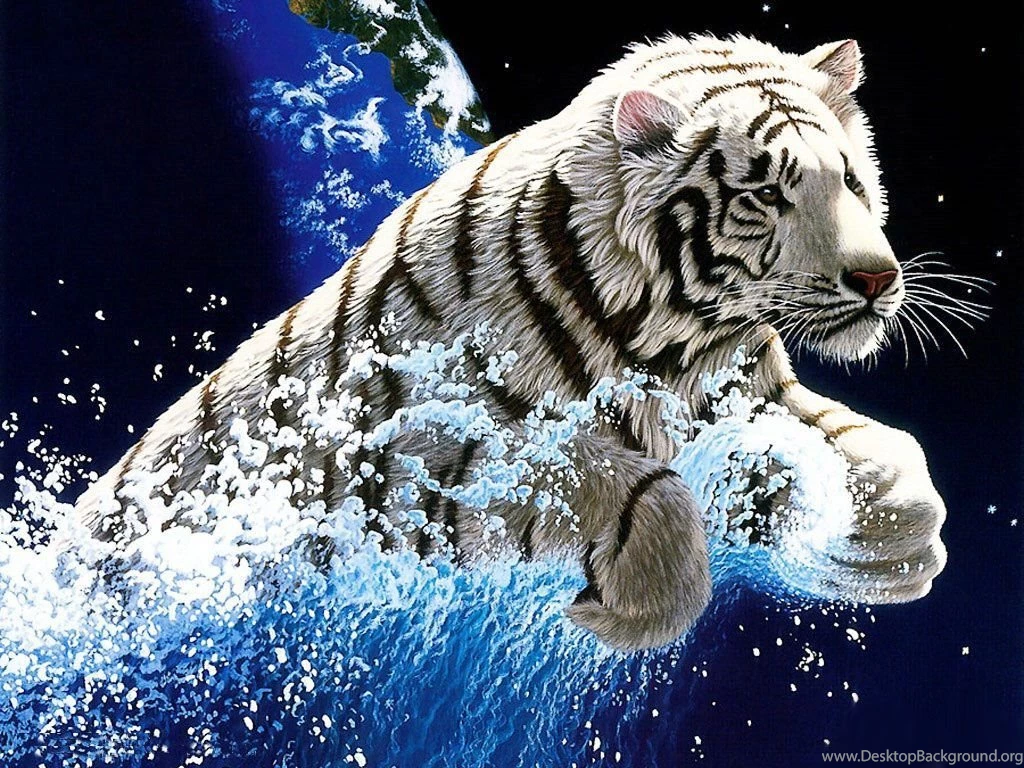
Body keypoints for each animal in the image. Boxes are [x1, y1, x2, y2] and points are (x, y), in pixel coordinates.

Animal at [74, 34, 948, 651]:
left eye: (852, 181)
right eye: (766, 193)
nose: (877, 279)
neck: (679, 339)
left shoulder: (751, 393)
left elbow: (885, 451)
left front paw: (891, 542)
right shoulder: (417, 464)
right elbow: (632, 484)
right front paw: (624, 611)